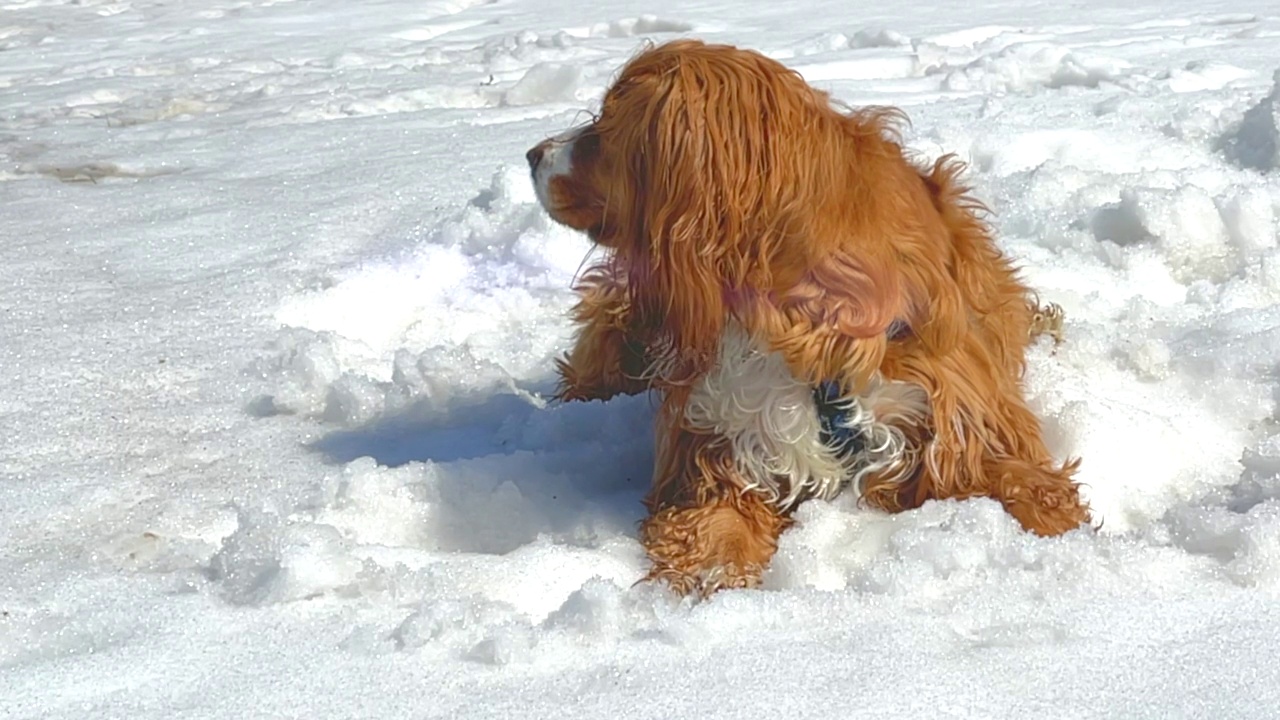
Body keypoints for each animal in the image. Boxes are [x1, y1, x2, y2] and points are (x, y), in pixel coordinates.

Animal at [524, 39, 1085, 594]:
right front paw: (712, 573)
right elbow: (714, 523)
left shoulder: (961, 414)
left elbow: (1025, 484)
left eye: (606, 123)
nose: (531, 153)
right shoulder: (718, 442)